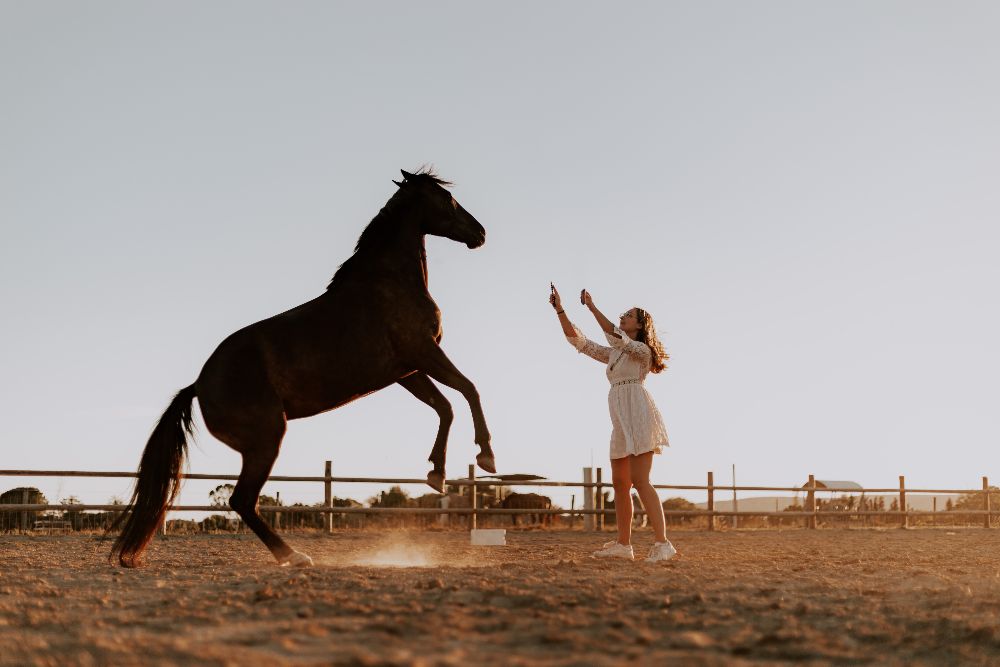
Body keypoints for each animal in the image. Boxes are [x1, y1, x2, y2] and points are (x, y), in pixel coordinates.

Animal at [110, 168, 495, 568]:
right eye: (447, 199)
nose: (480, 233)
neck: (389, 283)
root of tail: (198, 385)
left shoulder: (406, 372)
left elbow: (445, 406)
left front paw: (437, 472)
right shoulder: (424, 353)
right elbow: (469, 389)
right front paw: (486, 456)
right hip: (266, 441)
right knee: (242, 500)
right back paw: (293, 556)